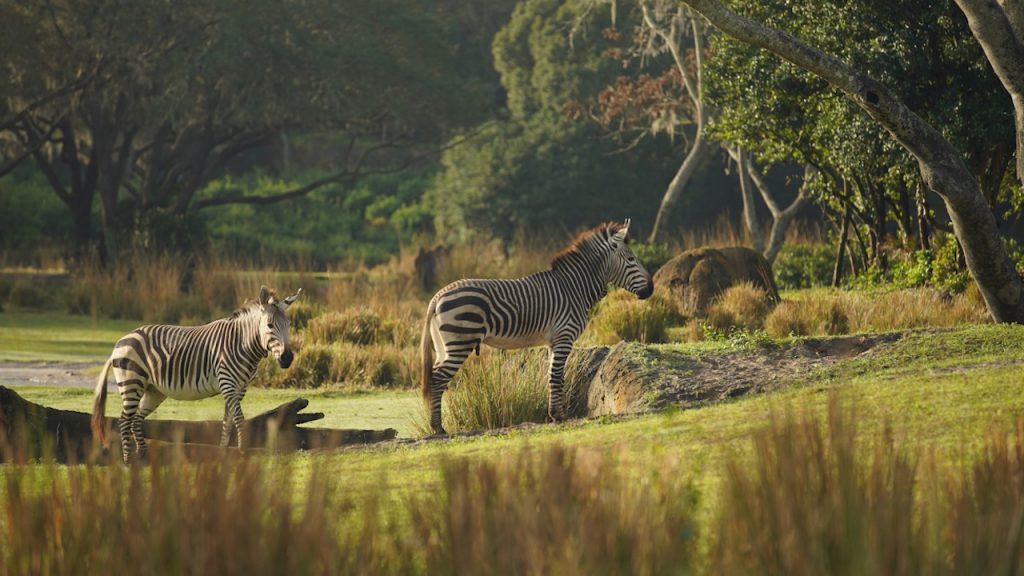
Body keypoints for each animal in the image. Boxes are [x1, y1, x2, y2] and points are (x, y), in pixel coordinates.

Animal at [91, 284, 301, 459]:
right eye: (270, 325)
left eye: (289, 325)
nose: (287, 358)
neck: (242, 343)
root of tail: (121, 340)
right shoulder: (228, 384)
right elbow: (239, 419)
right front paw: (242, 453)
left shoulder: (239, 389)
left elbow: (228, 421)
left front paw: (223, 453)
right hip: (132, 384)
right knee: (124, 421)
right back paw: (128, 461)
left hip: (153, 391)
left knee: (135, 420)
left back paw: (142, 457)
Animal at [419, 218, 651, 430]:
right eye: (631, 259)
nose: (651, 290)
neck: (573, 288)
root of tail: (437, 297)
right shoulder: (564, 336)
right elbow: (557, 378)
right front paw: (558, 416)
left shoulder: (553, 341)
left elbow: (552, 377)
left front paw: (553, 414)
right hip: (461, 340)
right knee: (438, 380)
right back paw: (437, 427)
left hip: (444, 346)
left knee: (435, 378)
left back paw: (435, 425)